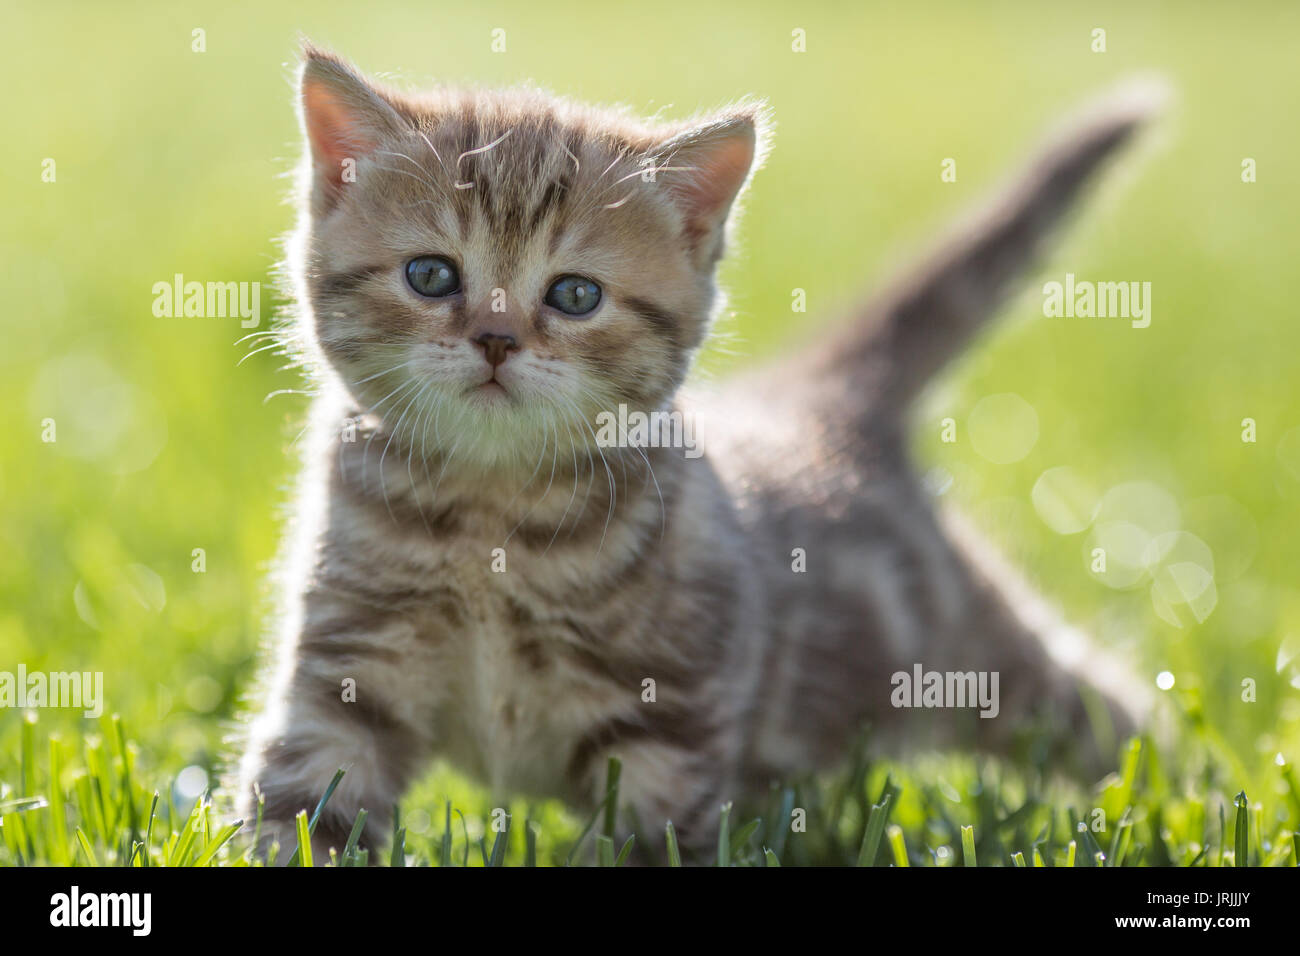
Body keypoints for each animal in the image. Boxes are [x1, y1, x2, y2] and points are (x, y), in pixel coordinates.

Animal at [231, 42, 1159, 868]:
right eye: (430, 276)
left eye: (575, 295)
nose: (495, 339)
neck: (488, 524)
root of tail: (819, 403)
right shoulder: (343, 684)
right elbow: (304, 809)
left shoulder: (663, 735)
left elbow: (649, 839)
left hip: (976, 658)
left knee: (1099, 708)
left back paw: (1179, 793)